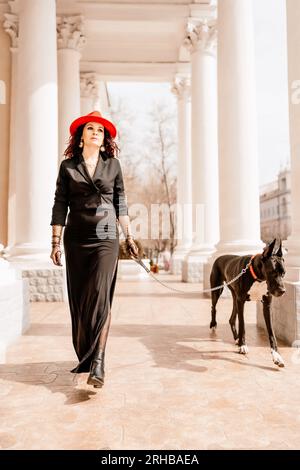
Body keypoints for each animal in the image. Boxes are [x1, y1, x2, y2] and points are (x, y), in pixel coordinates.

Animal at [209, 239, 286, 368]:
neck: (258, 277)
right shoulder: (241, 301)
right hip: (217, 289)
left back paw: (236, 338)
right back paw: (213, 325)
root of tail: (220, 256)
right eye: (272, 272)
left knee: (231, 319)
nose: (282, 291)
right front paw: (243, 345)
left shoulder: (266, 304)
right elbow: (242, 324)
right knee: (213, 307)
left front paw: (277, 356)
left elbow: (271, 332)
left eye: (283, 273)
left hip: (235, 296)